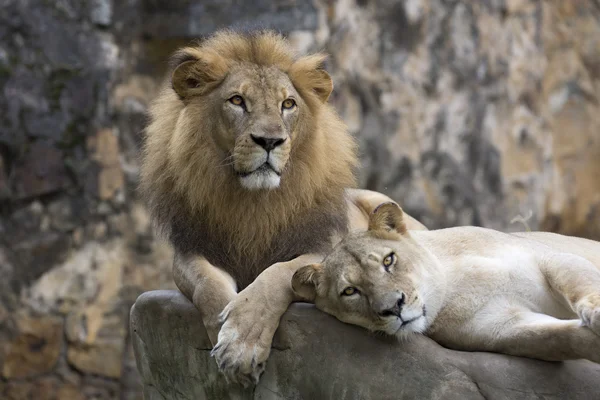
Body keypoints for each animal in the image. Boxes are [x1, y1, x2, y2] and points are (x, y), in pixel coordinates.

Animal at [139, 29, 426, 386]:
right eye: (237, 100)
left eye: (287, 104)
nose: (269, 141)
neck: (254, 204)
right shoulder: (193, 249)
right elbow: (208, 287)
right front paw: (223, 332)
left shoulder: (323, 249)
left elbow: (276, 274)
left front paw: (241, 342)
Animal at [292, 205, 600, 364]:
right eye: (350, 291)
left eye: (389, 260)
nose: (394, 308)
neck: (453, 280)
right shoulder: (503, 328)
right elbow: (563, 338)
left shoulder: (549, 257)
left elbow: (581, 283)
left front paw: (596, 313)